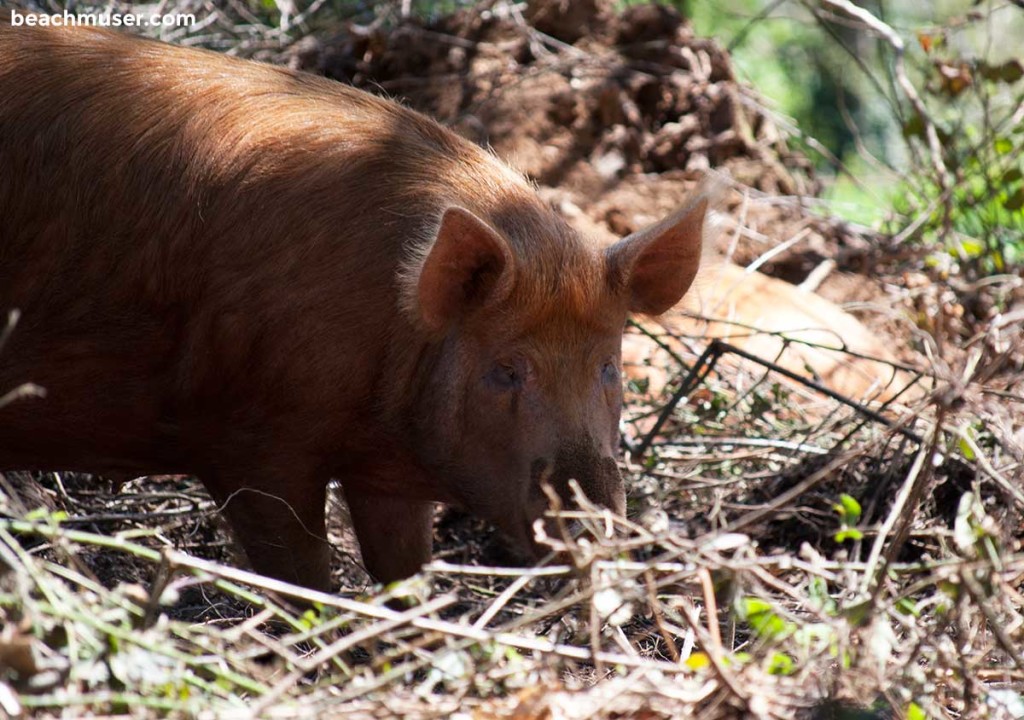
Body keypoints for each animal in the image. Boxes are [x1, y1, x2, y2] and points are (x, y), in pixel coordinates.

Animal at [0, 12, 712, 589]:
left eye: (608, 367)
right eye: (505, 370)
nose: (593, 522)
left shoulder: (385, 476)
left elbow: (405, 570)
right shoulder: (250, 441)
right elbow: (305, 575)